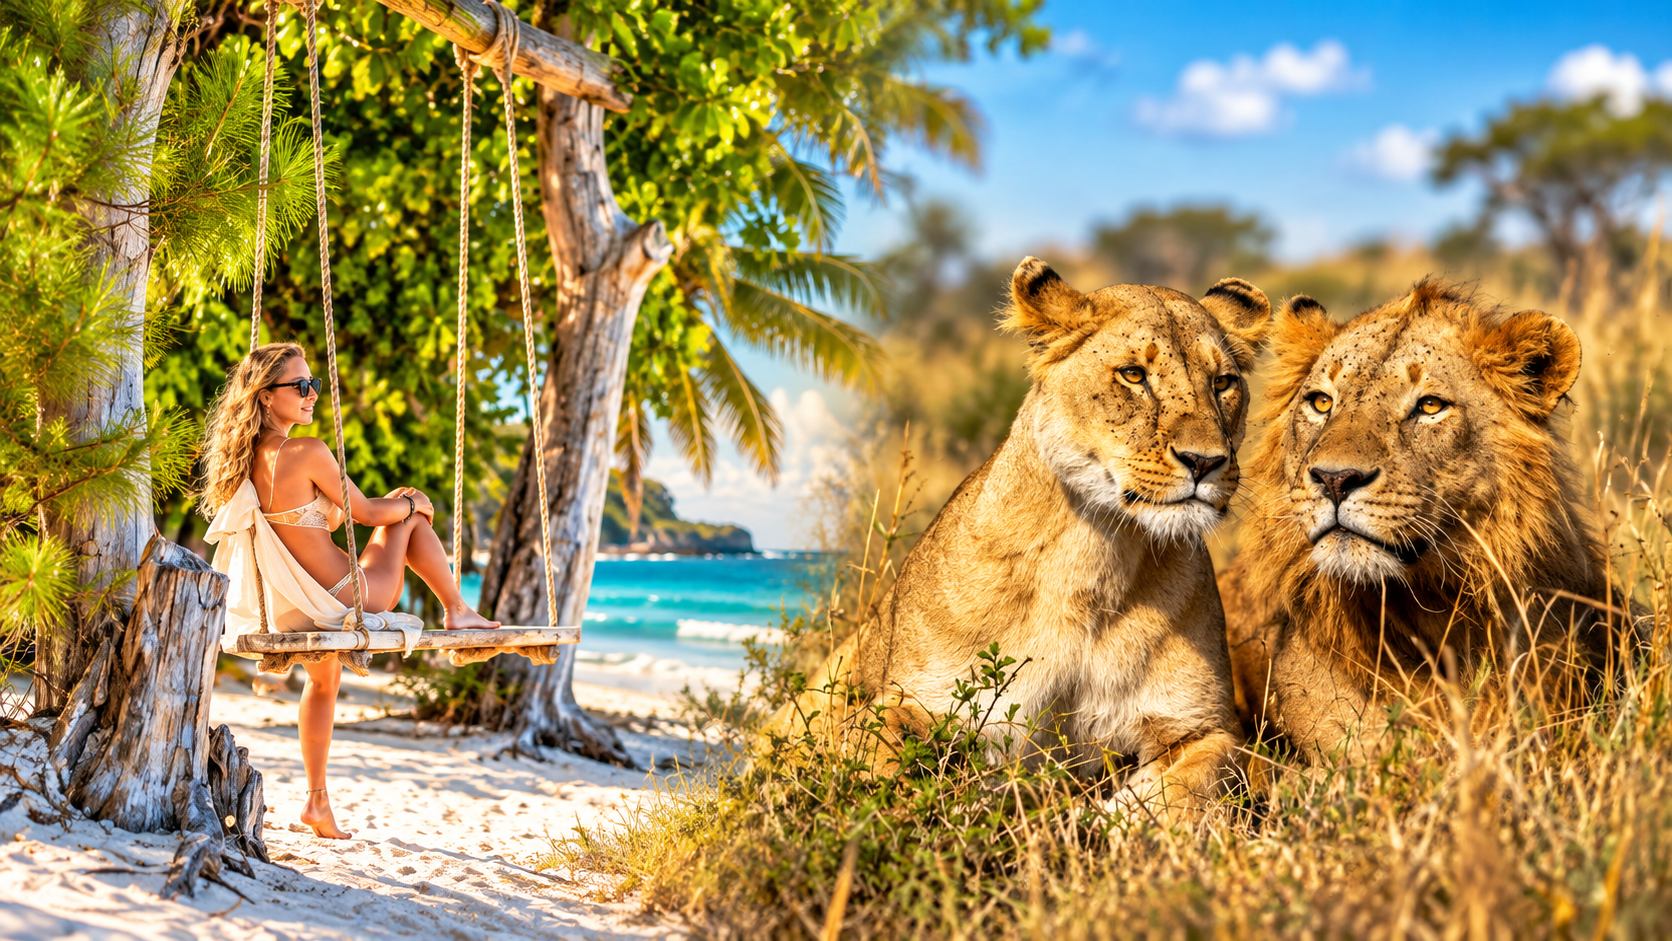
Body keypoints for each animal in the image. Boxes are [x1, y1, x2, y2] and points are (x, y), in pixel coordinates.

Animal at [769, 257, 1273, 816]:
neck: (1096, 555)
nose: (1205, 462)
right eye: (1133, 375)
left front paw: (1103, 820)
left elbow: (1187, 793)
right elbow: (887, 775)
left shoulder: (1205, 729)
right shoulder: (909, 703)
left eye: (1224, 382)